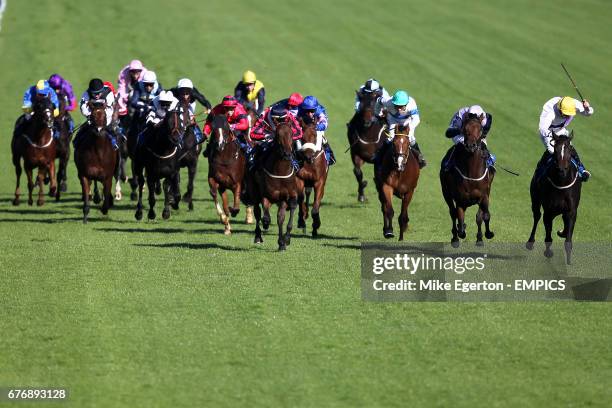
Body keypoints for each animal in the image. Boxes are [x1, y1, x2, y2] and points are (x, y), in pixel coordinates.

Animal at [438, 116, 494, 247]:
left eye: (480, 129)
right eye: (464, 128)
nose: (471, 145)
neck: (472, 172)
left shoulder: (484, 196)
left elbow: (483, 216)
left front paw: (484, 236)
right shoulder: (460, 200)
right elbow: (460, 220)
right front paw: (460, 230)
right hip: (446, 193)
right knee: (453, 213)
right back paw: (455, 237)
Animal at [524, 131, 584, 264]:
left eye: (570, 149)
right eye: (555, 149)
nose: (561, 170)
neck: (561, 183)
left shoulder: (571, 211)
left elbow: (568, 235)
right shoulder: (549, 211)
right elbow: (548, 234)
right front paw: (548, 252)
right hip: (535, 198)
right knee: (537, 216)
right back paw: (530, 242)